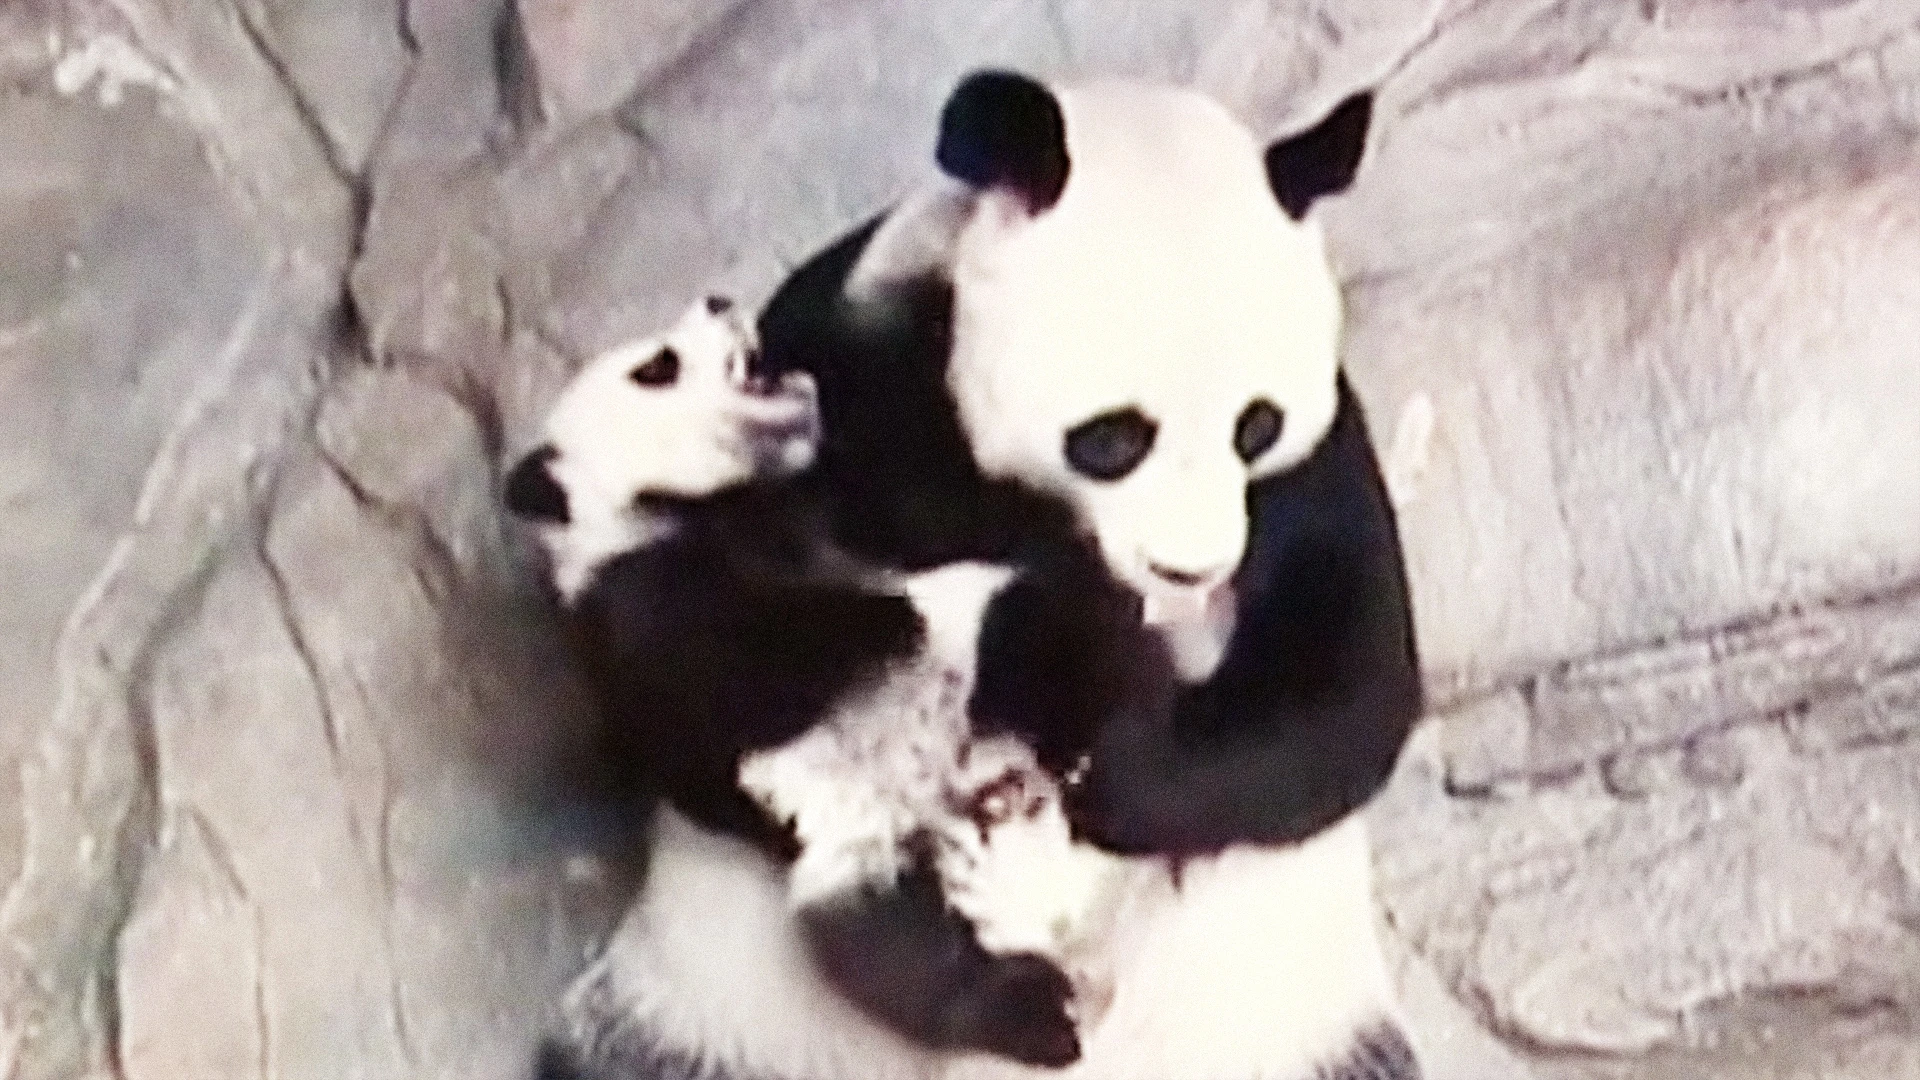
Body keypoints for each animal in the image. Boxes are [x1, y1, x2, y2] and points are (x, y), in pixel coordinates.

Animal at [504, 296, 1138, 1070]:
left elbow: (936, 516)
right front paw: (912, 612)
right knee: (895, 948)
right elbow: (753, 674)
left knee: (1056, 639)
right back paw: (1039, 1011)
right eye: (657, 366)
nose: (719, 301)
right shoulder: (642, 608)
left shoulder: (842, 511)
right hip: (854, 850)